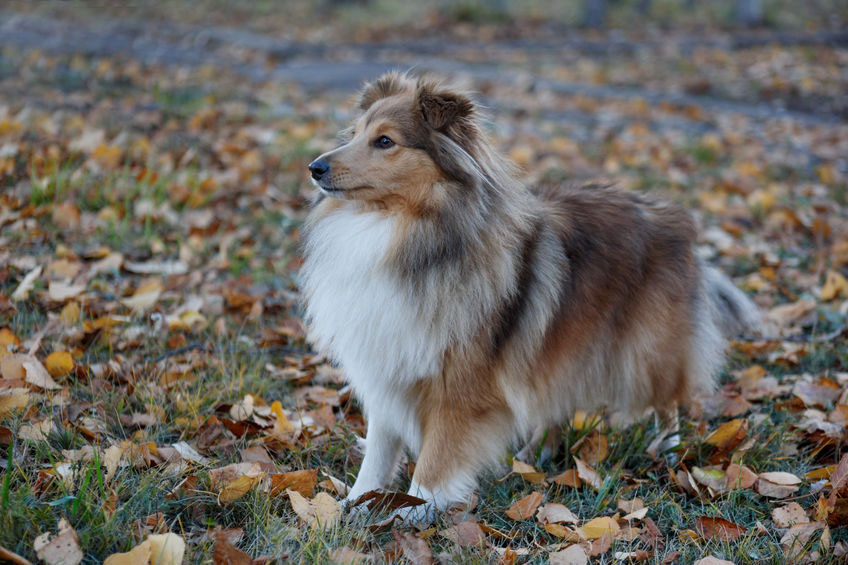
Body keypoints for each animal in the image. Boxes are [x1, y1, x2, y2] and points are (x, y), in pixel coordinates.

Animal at [300, 72, 760, 524]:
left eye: (385, 141)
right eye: (355, 134)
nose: (314, 168)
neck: (401, 227)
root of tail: (679, 221)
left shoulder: (459, 385)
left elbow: (436, 456)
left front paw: (412, 511)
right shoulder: (387, 360)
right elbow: (379, 449)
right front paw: (351, 506)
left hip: (648, 349)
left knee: (669, 401)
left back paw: (667, 448)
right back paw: (534, 453)